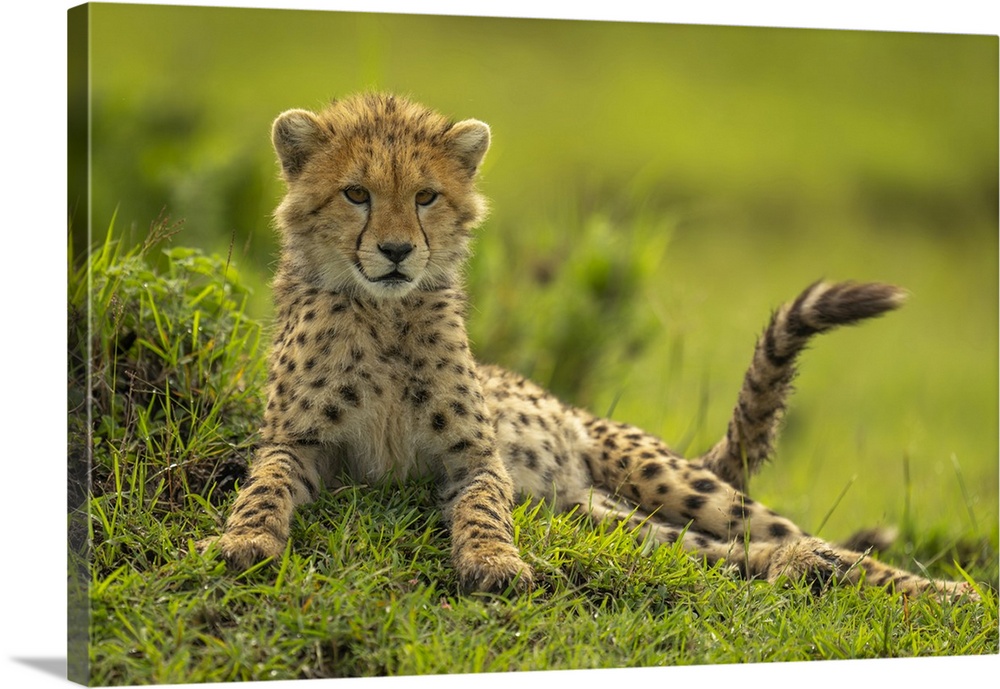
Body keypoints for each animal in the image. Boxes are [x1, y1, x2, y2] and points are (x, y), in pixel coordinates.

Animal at [197, 92, 977, 602]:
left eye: (425, 197)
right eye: (356, 193)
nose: (394, 251)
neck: (384, 316)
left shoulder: (475, 456)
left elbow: (485, 508)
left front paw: (494, 562)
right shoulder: (296, 442)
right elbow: (263, 487)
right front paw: (243, 540)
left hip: (663, 480)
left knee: (793, 534)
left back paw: (944, 591)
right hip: (604, 517)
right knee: (728, 551)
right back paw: (798, 571)